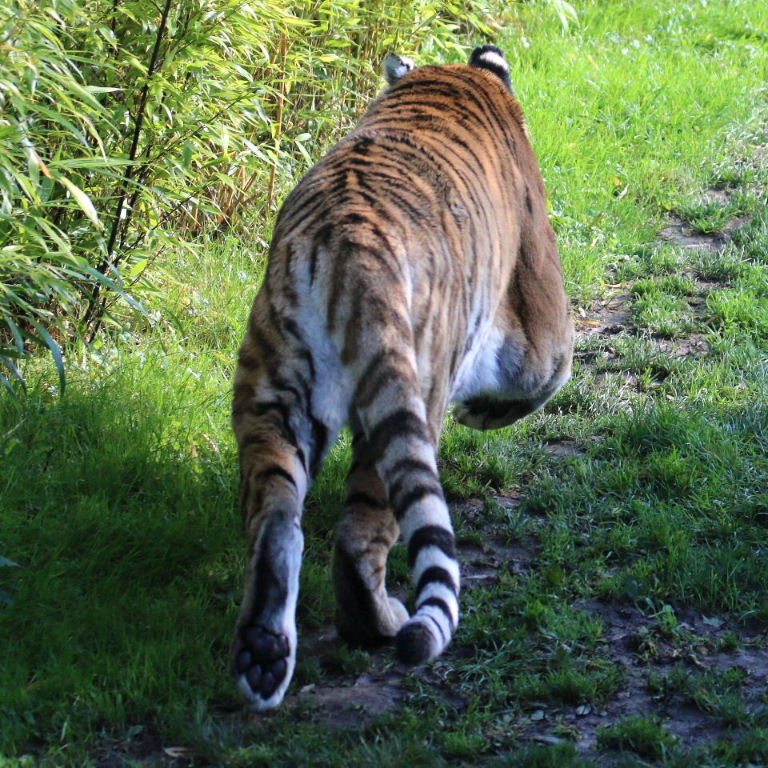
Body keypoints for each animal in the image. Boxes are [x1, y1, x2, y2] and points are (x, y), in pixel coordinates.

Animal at [231, 45, 572, 712]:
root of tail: (348, 247)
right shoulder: (541, 317)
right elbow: (540, 381)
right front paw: (482, 410)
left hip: (274, 391)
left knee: (278, 520)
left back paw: (264, 656)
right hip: (408, 395)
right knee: (362, 537)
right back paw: (384, 624)